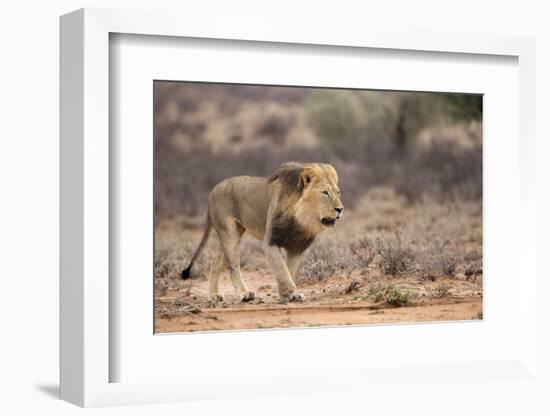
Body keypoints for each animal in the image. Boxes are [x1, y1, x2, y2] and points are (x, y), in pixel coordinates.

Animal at [181, 162, 344, 302]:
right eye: (325, 193)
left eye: (338, 192)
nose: (340, 209)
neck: (302, 218)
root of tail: (212, 191)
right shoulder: (270, 242)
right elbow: (282, 269)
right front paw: (288, 292)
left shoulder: (297, 247)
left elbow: (290, 271)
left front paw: (290, 295)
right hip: (228, 232)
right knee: (233, 267)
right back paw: (245, 294)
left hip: (235, 233)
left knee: (216, 261)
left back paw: (214, 295)